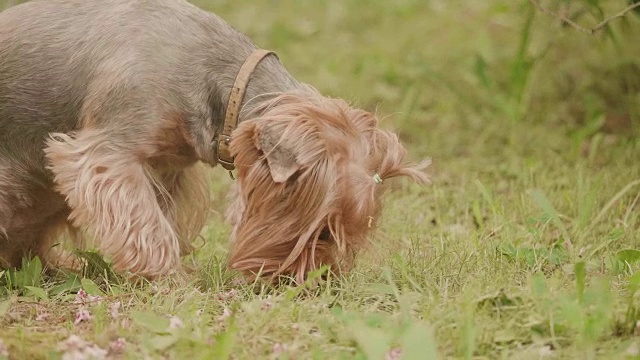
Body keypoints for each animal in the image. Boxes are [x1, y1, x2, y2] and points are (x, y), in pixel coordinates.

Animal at [1, 0, 430, 284]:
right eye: (323, 233)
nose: (319, 281)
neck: (226, 82)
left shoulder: (169, 170)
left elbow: (163, 220)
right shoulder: (108, 153)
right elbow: (145, 224)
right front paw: (169, 280)